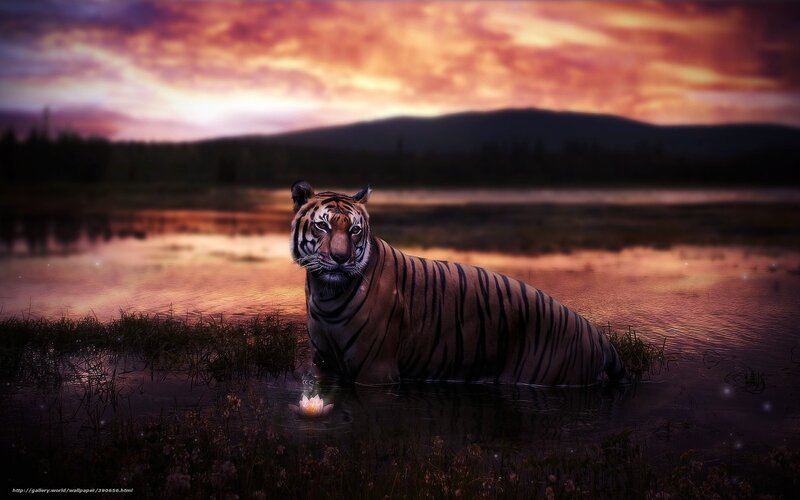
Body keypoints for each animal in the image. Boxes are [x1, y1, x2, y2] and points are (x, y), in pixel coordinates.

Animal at [290, 181, 626, 386]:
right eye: (322, 226)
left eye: (355, 230)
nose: (341, 258)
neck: (326, 295)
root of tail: (601, 337)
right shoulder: (324, 367)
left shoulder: (376, 370)